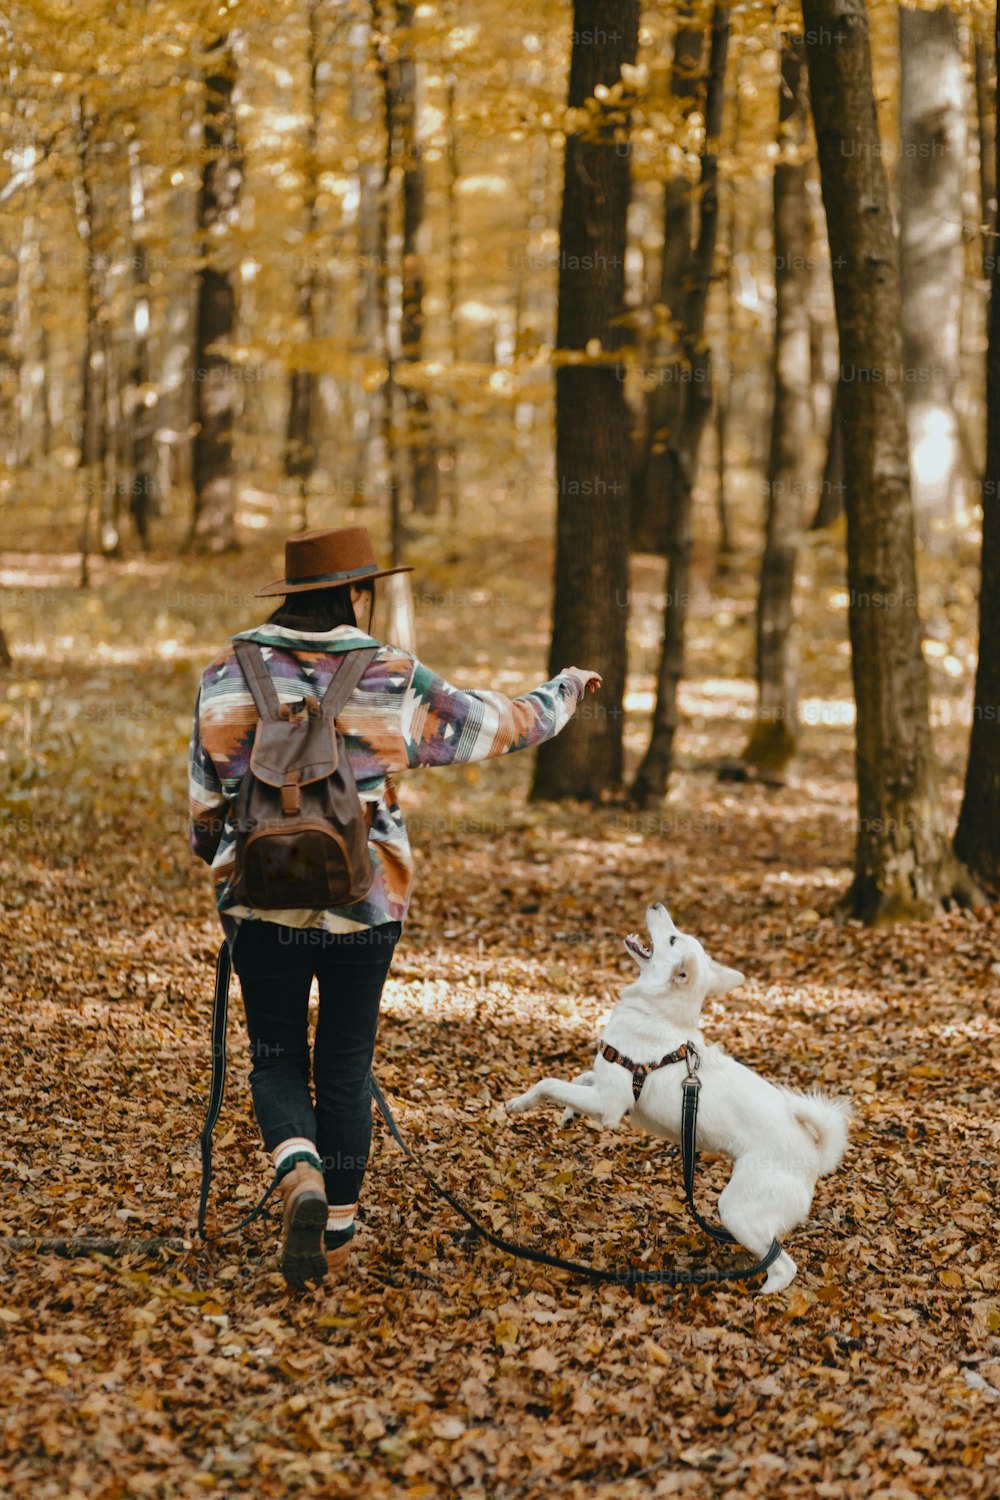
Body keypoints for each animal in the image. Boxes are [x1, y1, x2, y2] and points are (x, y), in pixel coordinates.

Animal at [509, 900, 845, 1290]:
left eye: (672, 938)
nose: (657, 904)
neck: (659, 1014)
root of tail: (815, 1155)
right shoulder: (605, 1087)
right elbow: (580, 1077)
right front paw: (568, 1114)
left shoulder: (610, 1106)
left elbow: (548, 1082)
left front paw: (520, 1104)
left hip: (736, 1210)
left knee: (783, 1265)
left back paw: (760, 1294)